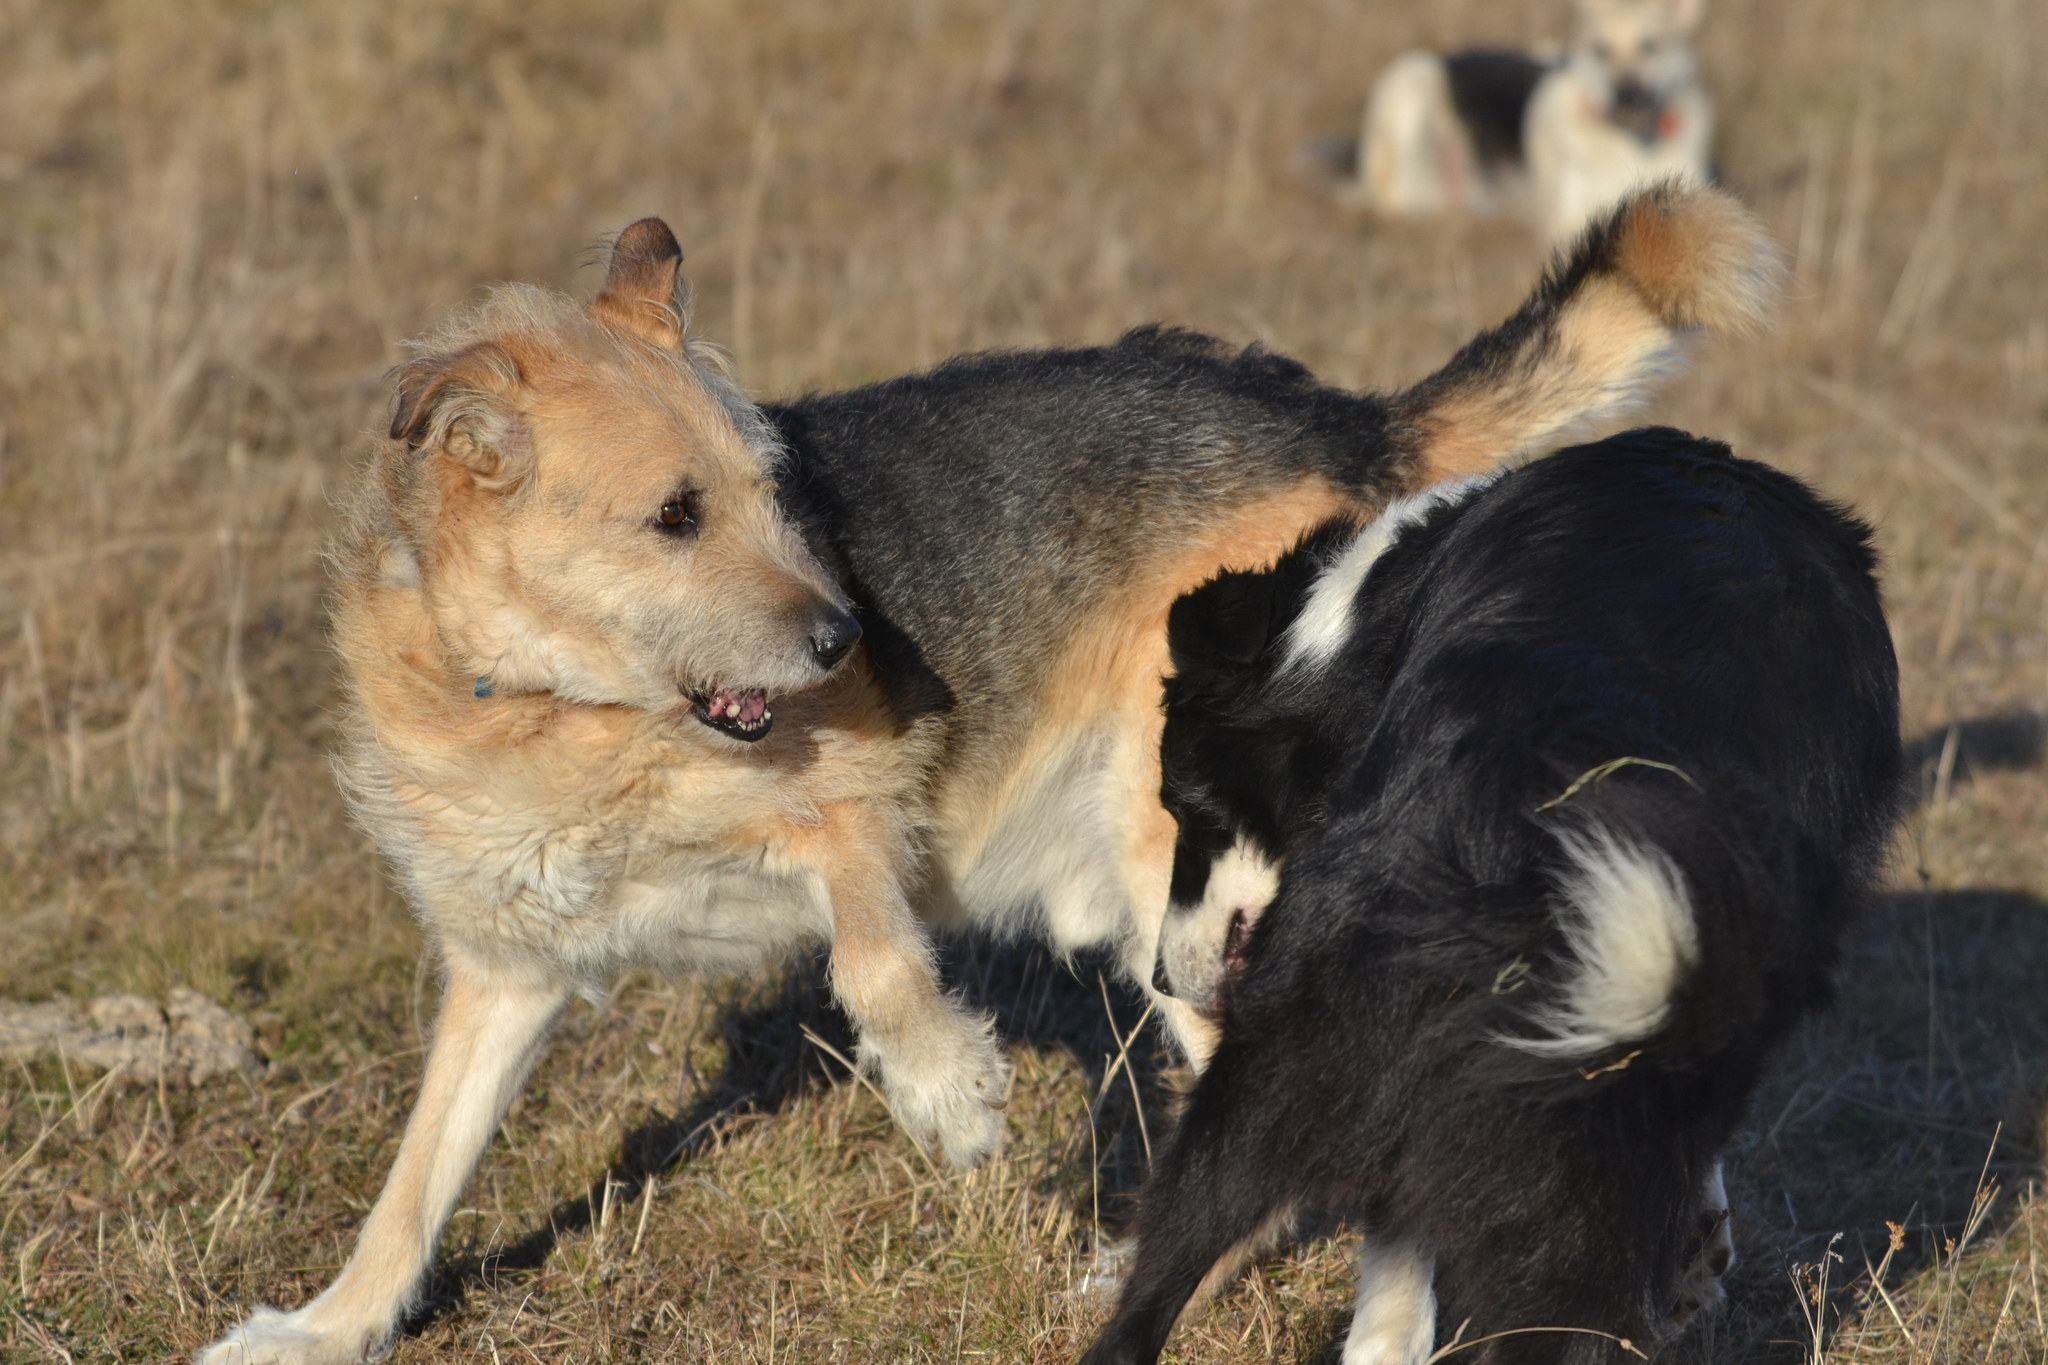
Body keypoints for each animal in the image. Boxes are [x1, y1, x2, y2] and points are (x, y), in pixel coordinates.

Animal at [199, 184, 1785, 1365]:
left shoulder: (858, 806)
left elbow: (876, 958)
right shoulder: (507, 970)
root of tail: (1345, 426)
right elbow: (414, 1181)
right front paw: (326, 1329)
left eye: (775, 492)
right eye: (673, 516)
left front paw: (949, 1096)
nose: (849, 641)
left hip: (1194, 886)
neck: (565, 713)